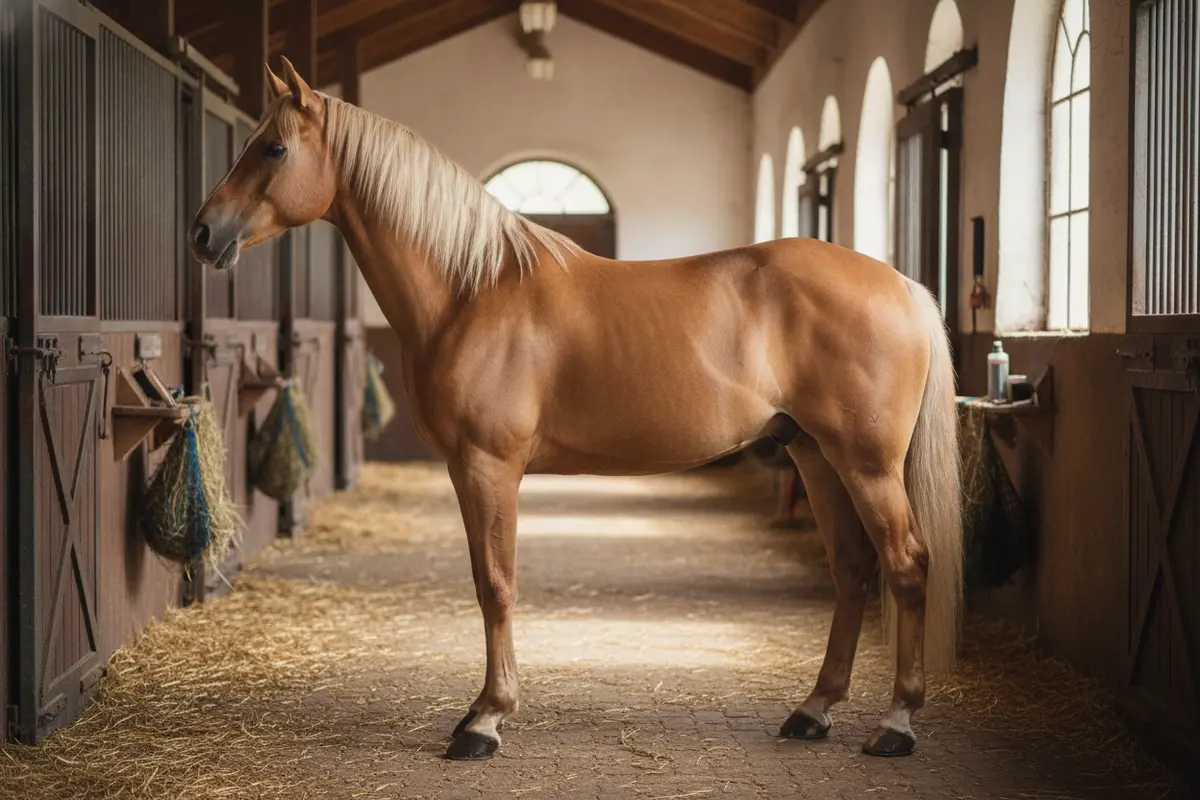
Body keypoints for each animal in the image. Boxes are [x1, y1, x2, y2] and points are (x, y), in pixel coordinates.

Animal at [190, 58, 963, 762]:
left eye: (273, 148)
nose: (203, 233)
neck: (472, 289)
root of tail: (900, 285)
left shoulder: (489, 467)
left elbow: (495, 584)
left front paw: (485, 720)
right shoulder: (467, 469)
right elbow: (488, 581)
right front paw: (483, 710)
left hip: (866, 464)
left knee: (905, 563)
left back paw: (895, 724)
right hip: (815, 454)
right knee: (853, 568)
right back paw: (813, 710)